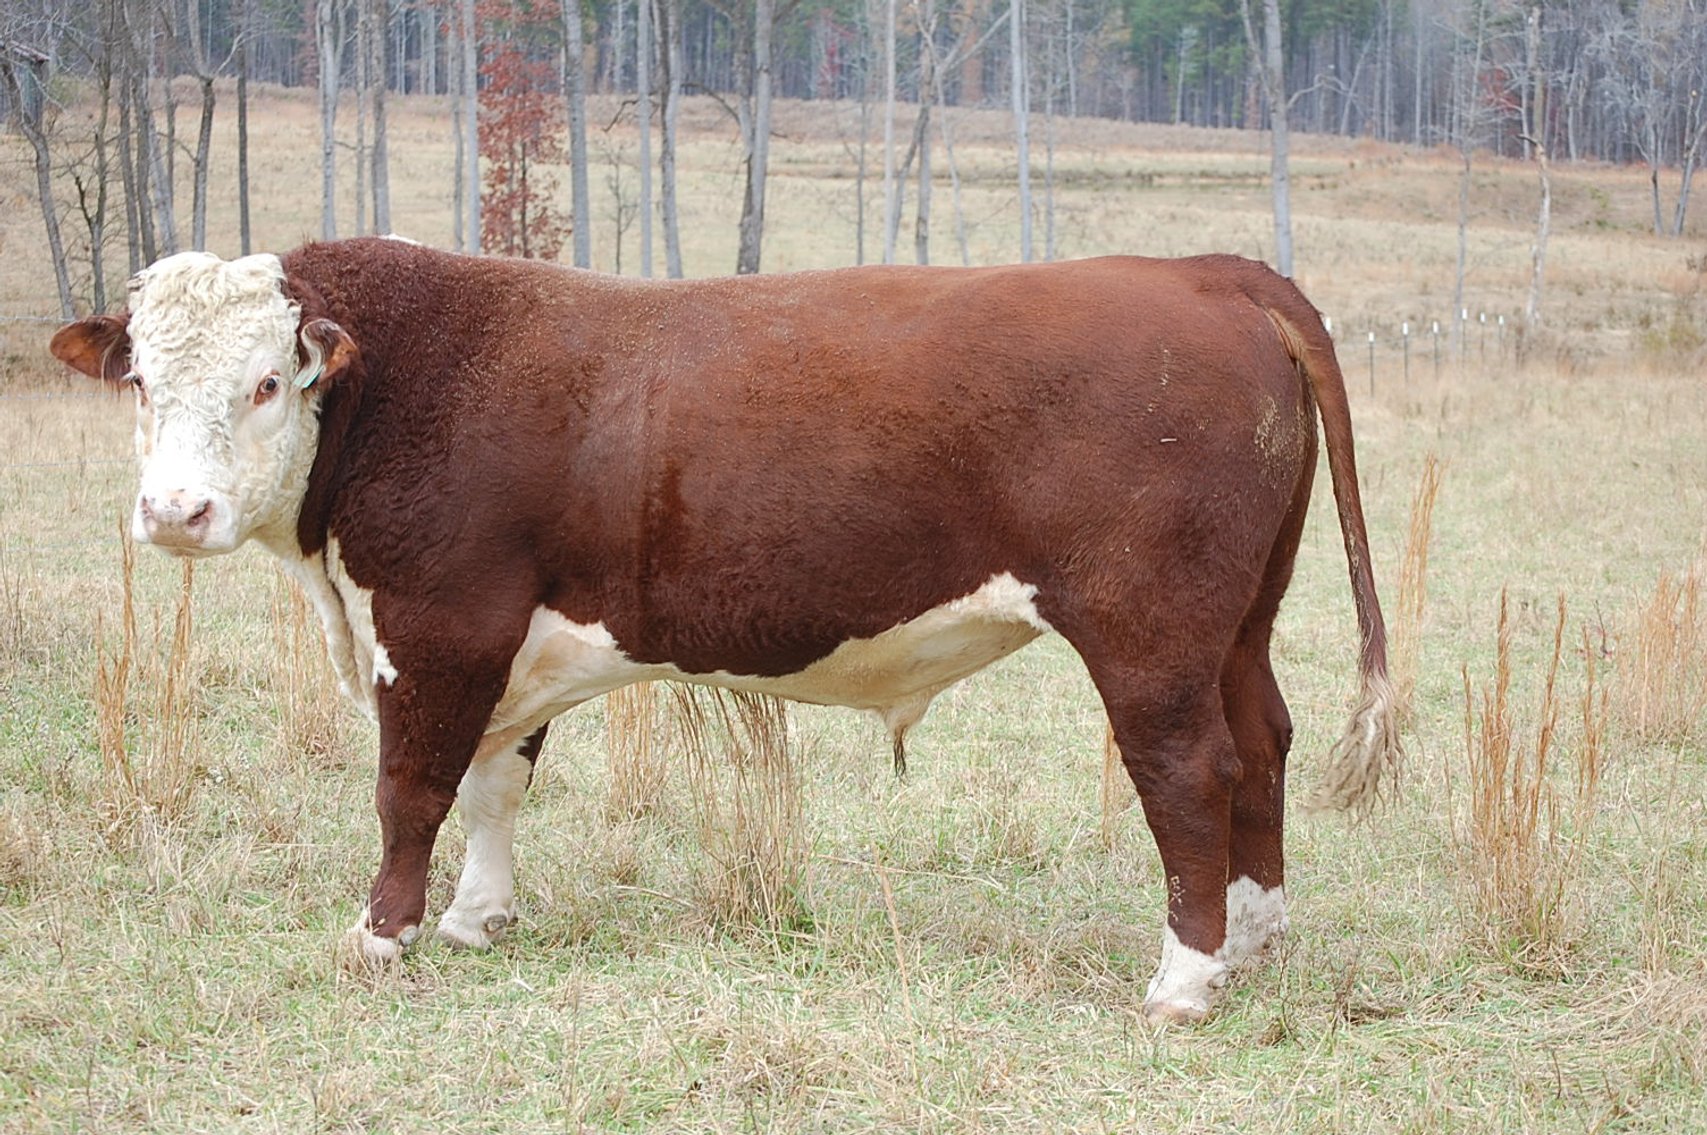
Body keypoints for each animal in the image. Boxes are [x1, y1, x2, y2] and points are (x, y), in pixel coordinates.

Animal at [52, 238, 1400, 1023]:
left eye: (268, 382)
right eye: (141, 382)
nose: (175, 513)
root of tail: (1209, 268)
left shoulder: (437, 626)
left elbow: (411, 788)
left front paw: (381, 938)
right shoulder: (504, 642)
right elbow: (494, 784)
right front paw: (479, 917)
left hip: (1148, 632)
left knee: (1191, 770)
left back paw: (1185, 981)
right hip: (1240, 622)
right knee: (1263, 746)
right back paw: (1256, 940)